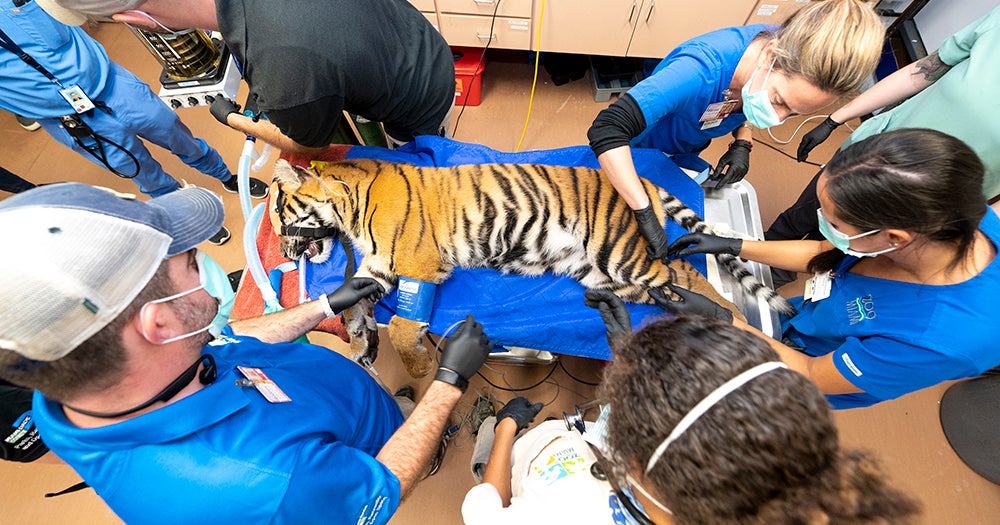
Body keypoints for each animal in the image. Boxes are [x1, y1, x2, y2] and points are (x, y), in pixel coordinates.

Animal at [270, 158, 793, 378]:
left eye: (276, 210)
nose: (279, 249)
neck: (349, 210)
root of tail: (640, 180)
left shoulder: (420, 265)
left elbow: (401, 326)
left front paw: (416, 365)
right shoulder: (376, 270)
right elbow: (353, 306)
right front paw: (361, 345)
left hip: (623, 253)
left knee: (690, 280)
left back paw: (730, 323)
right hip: (602, 273)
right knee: (668, 291)